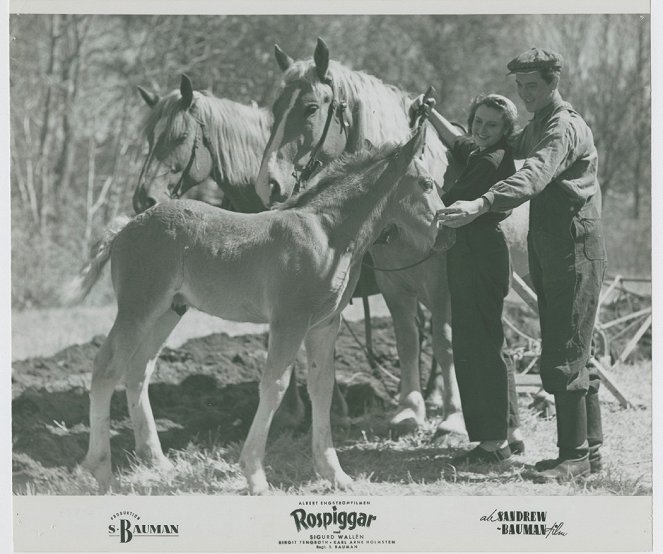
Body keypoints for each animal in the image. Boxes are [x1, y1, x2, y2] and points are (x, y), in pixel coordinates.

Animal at [256, 40, 464, 436]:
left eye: (310, 108)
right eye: (274, 108)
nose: (268, 183)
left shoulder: (443, 282)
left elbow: (446, 341)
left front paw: (453, 414)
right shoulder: (394, 284)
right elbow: (407, 339)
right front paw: (410, 407)